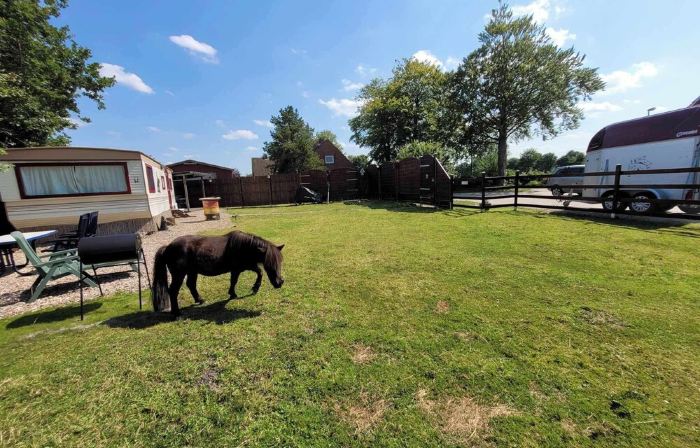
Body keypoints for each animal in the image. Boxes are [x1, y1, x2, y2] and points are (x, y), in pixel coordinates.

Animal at [151, 230, 285, 317]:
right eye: (269, 264)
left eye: (280, 262)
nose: (279, 283)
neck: (242, 247)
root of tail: (167, 247)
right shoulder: (237, 269)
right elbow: (234, 280)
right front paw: (234, 293)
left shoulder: (246, 266)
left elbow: (259, 272)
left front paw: (254, 288)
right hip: (179, 274)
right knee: (173, 290)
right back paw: (176, 312)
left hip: (192, 271)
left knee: (191, 285)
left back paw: (200, 300)